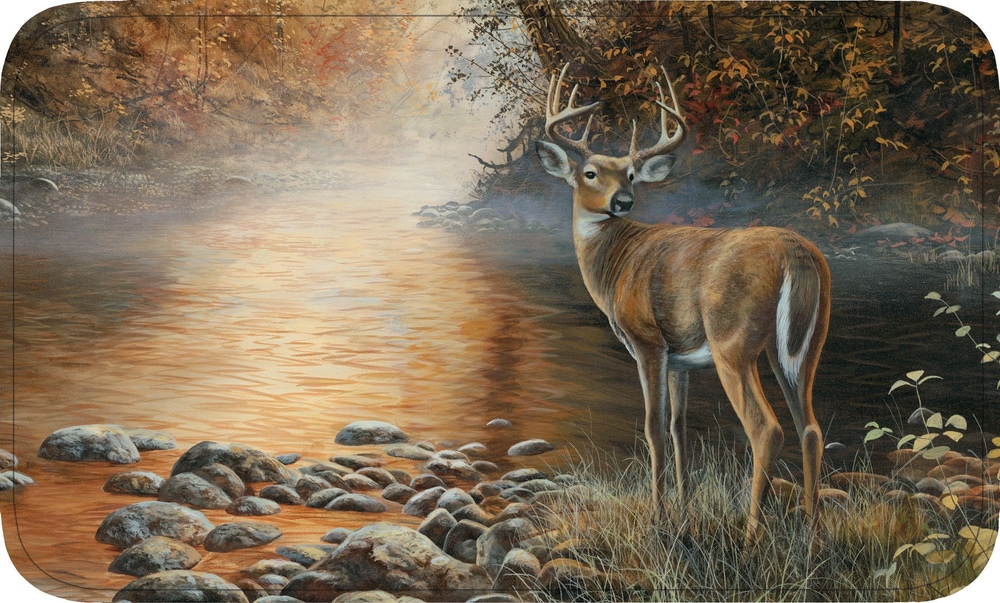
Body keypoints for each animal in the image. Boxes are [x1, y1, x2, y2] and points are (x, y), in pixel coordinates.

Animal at [534, 63, 830, 545]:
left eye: (630, 175)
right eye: (591, 173)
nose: (623, 201)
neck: (617, 262)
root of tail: (795, 253)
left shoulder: (648, 342)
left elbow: (654, 428)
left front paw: (658, 523)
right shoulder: (682, 361)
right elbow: (679, 430)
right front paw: (685, 521)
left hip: (733, 340)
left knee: (766, 429)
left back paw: (751, 537)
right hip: (803, 345)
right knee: (810, 428)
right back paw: (813, 535)